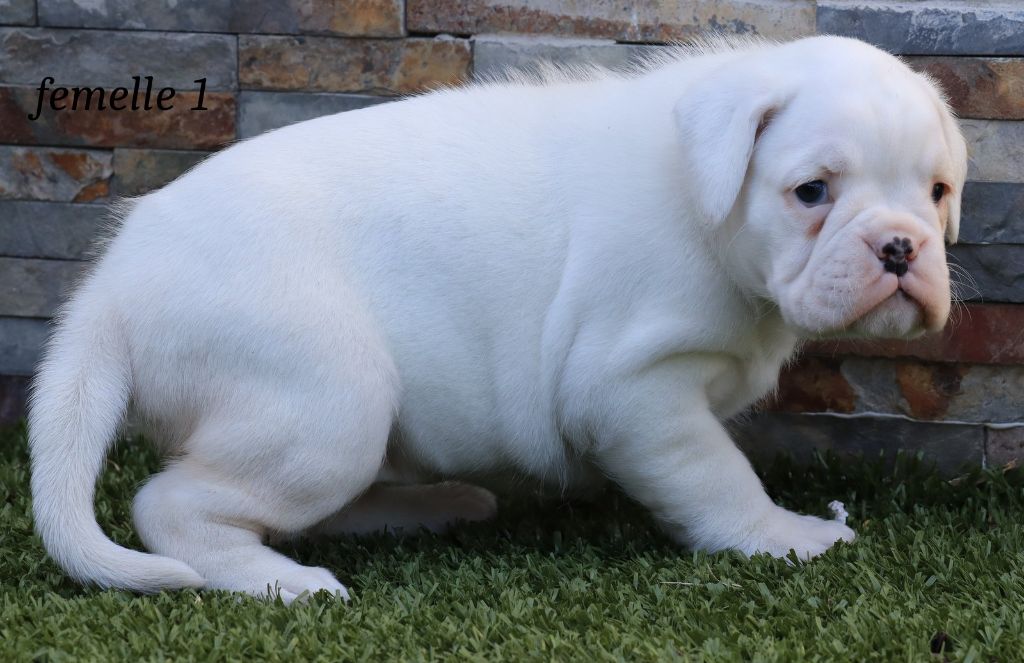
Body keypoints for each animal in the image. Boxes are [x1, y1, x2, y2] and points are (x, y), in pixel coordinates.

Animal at [29, 35, 967, 602]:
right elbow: (719, 477)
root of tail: (111, 291)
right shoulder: (637, 393)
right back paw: (284, 580)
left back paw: (434, 505)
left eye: (937, 191)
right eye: (811, 191)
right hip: (327, 404)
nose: (899, 247)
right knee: (176, 505)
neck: (706, 199)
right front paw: (785, 535)